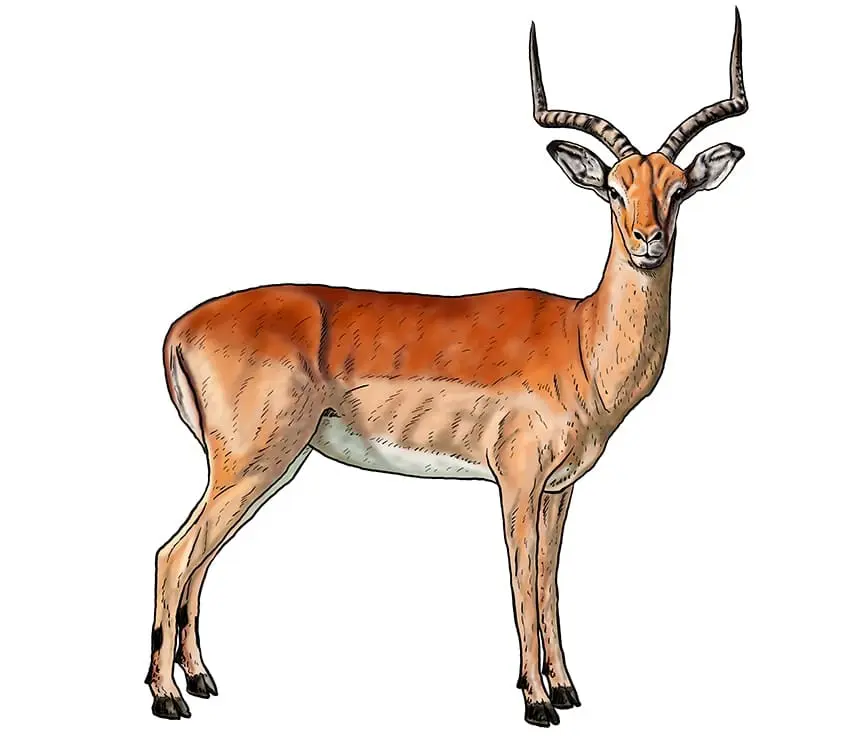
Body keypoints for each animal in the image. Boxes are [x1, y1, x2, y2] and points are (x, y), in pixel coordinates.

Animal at [147, 11, 748, 726]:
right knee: (173, 554)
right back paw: (166, 699)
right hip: (252, 462)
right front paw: (537, 702)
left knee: (196, 558)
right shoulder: (516, 482)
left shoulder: (560, 489)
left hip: (264, 468)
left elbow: (550, 582)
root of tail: (179, 327)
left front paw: (566, 690)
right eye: (612, 188)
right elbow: (521, 584)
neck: (580, 339)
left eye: (678, 189)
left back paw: (200, 681)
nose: (648, 242)